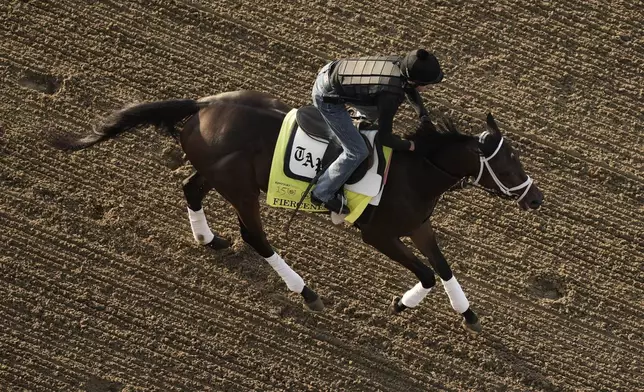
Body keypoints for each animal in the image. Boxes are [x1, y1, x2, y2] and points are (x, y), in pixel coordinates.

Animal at [52, 90, 540, 332]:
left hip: (220, 173)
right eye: (507, 162)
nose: (536, 199)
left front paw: (468, 314)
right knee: (255, 236)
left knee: (190, 190)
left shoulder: (418, 225)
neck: (414, 169)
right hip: (242, 189)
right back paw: (305, 291)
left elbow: (443, 267)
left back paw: (208, 238)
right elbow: (425, 273)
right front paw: (402, 304)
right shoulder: (378, 233)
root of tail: (204, 105)